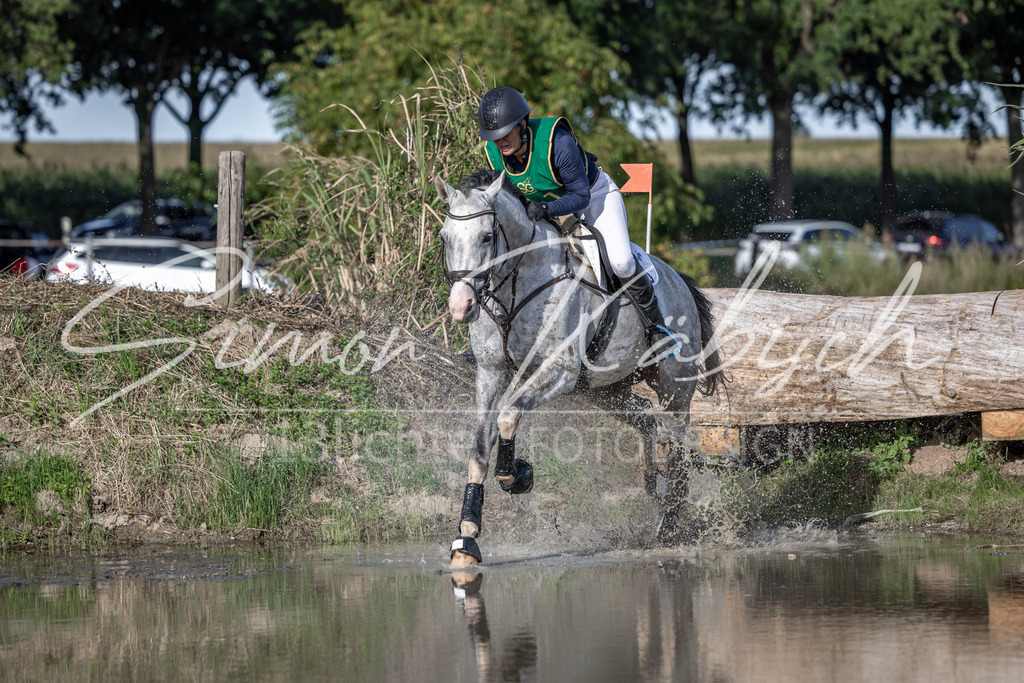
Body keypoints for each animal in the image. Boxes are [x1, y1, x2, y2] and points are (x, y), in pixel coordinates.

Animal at [434, 169, 723, 566]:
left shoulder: (559, 370)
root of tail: (679, 280)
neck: (520, 280)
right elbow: (479, 449)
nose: (461, 306)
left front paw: (517, 476)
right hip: (604, 391)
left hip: (674, 389)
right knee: (645, 418)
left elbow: (508, 417)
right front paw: (467, 538)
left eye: (487, 237)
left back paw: (670, 523)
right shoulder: (491, 373)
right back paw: (654, 485)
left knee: (678, 445)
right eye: (445, 237)